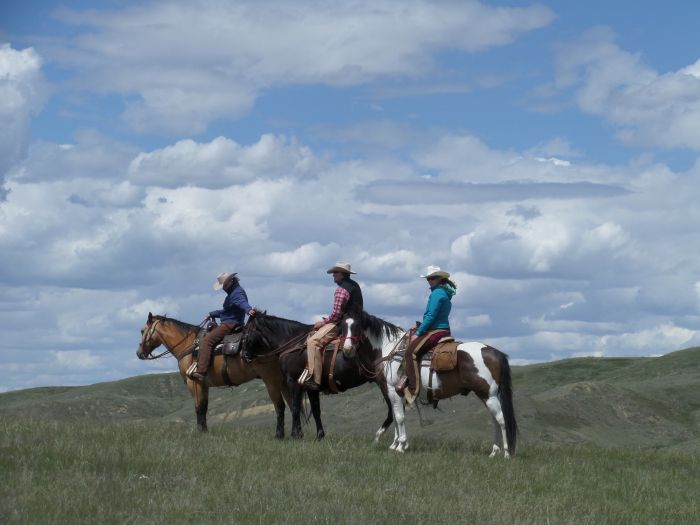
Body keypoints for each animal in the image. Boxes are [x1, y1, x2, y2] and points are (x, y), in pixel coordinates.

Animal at [135, 314, 292, 436]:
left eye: (142, 331)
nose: (139, 353)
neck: (188, 345)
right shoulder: (204, 384)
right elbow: (204, 407)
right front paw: (204, 431)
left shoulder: (194, 383)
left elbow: (198, 408)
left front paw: (200, 432)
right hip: (282, 380)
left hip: (271, 380)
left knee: (280, 406)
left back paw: (279, 434)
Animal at [242, 314, 400, 440]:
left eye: (245, 332)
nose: (244, 355)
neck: (293, 343)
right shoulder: (311, 387)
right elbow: (316, 410)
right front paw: (319, 436)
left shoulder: (294, 382)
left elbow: (295, 407)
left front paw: (295, 435)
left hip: (384, 384)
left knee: (393, 410)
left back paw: (381, 436)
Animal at [346, 312, 520, 454]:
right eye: (343, 326)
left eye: (356, 327)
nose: (347, 349)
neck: (388, 349)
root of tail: (495, 352)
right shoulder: (396, 393)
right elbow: (396, 416)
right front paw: (396, 445)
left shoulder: (392, 390)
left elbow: (399, 417)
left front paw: (400, 446)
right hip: (487, 395)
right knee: (495, 420)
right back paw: (494, 452)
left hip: (488, 395)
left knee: (501, 419)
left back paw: (505, 453)